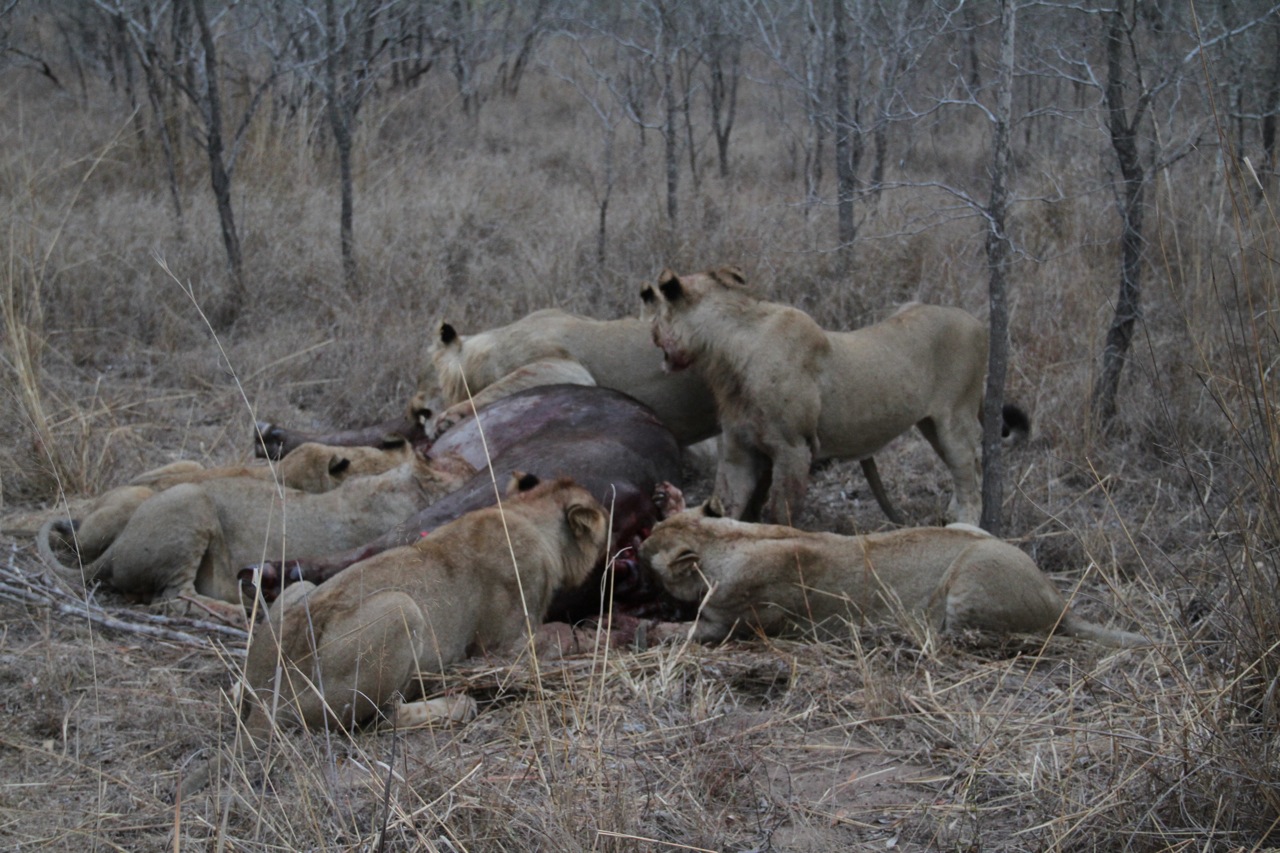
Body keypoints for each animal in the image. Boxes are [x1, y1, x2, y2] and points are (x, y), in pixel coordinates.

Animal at [38, 448, 476, 622]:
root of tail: (112, 551)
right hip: (191, 498)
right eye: (469, 468)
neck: (406, 485)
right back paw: (242, 612)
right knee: (172, 598)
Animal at [240, 471, 609, 732]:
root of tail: (263, 699)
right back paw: (457, 705)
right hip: (399, 609)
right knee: (381, 719)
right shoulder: (504, 646)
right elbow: (556, 637)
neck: (525, 515)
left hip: (301, 588)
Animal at [640, 263, 1029, 525]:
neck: (725, 354)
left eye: (655, 314)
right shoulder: (738, 449)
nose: (651, 334)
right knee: (964, 469)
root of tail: (976, 321)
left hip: (955, 418)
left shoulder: (794, 448)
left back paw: (965, 526)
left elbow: (781, 513)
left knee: (970, 475)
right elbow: (725, 504)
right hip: (930, 424)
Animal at [640, 489, 1152, 648]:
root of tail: (1060, 603)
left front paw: (644, 630)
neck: (726, 540)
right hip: (969, 528)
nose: (638, 543)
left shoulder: (741, 621)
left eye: (646, 555)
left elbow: (684, 633)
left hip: (971, 579)